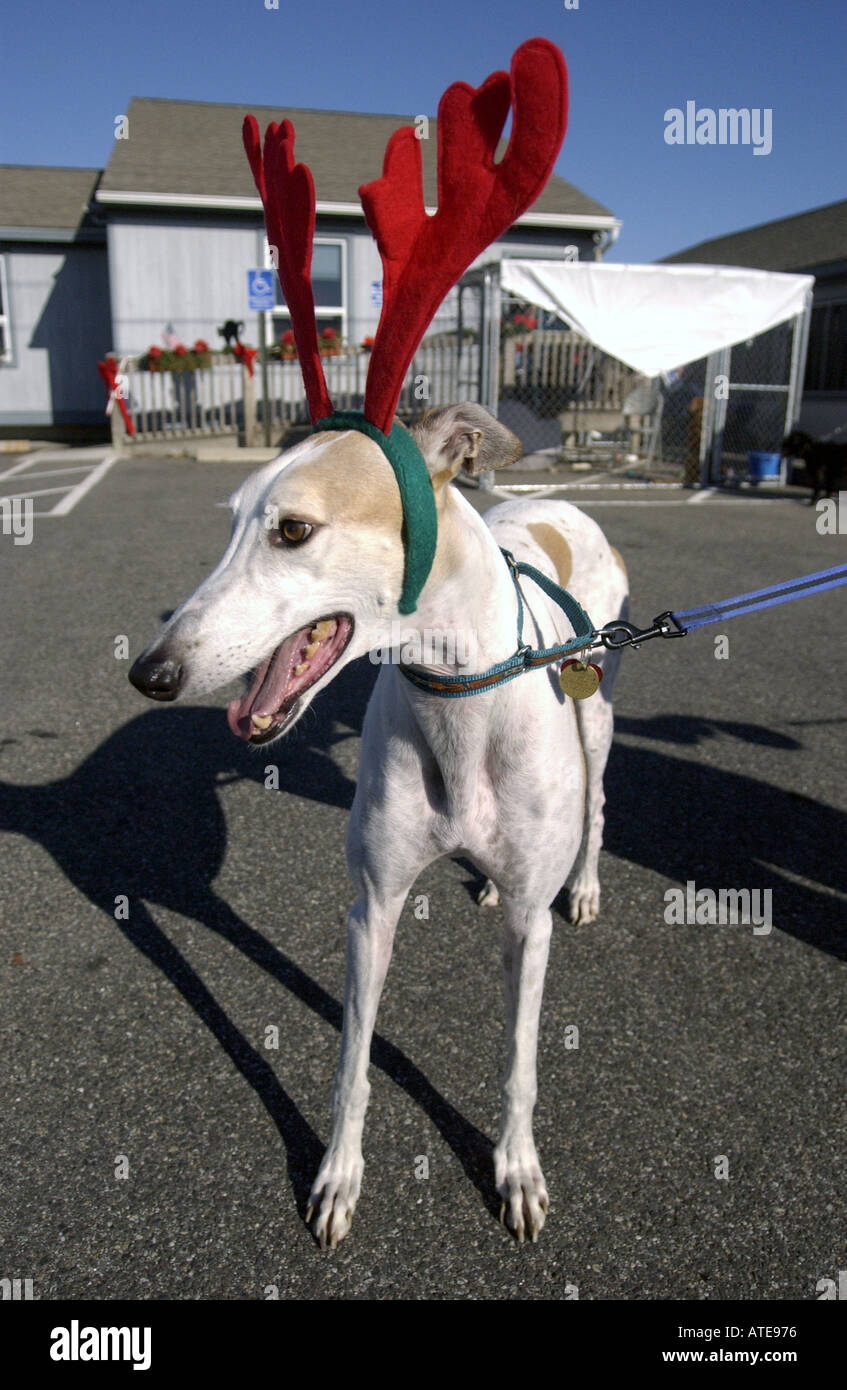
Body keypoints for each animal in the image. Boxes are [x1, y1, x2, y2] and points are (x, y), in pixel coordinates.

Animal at [128, 397, 623, 1245]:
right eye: (232, 522)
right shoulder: (373, 908)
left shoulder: (531, 926)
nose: (150, 673)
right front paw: (337, 1177)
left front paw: (516, 1169)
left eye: (293, 530)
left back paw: (585, 885)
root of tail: (558, 508)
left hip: (593, 707)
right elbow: (352, 1063)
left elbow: (518, 1062)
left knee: (594, 804)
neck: (458, 696)